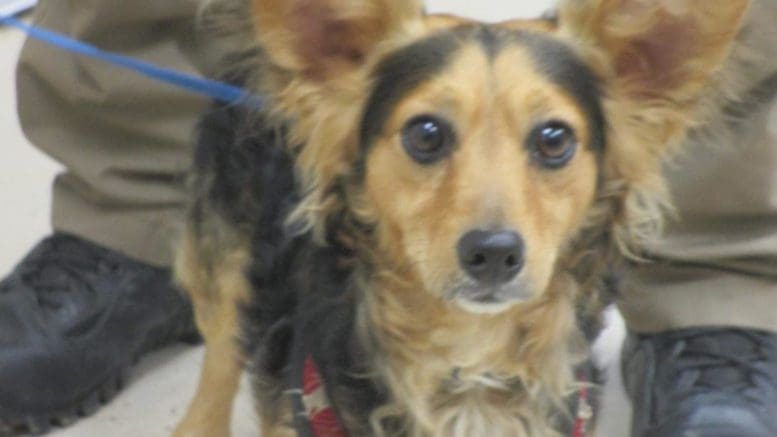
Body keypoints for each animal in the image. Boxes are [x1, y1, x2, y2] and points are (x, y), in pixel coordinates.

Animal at [174, 0, 744, 434]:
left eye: (554, 139)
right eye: (425, 133)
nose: (493, 254)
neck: (471, 363)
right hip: (227, 268)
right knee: (219, 362)